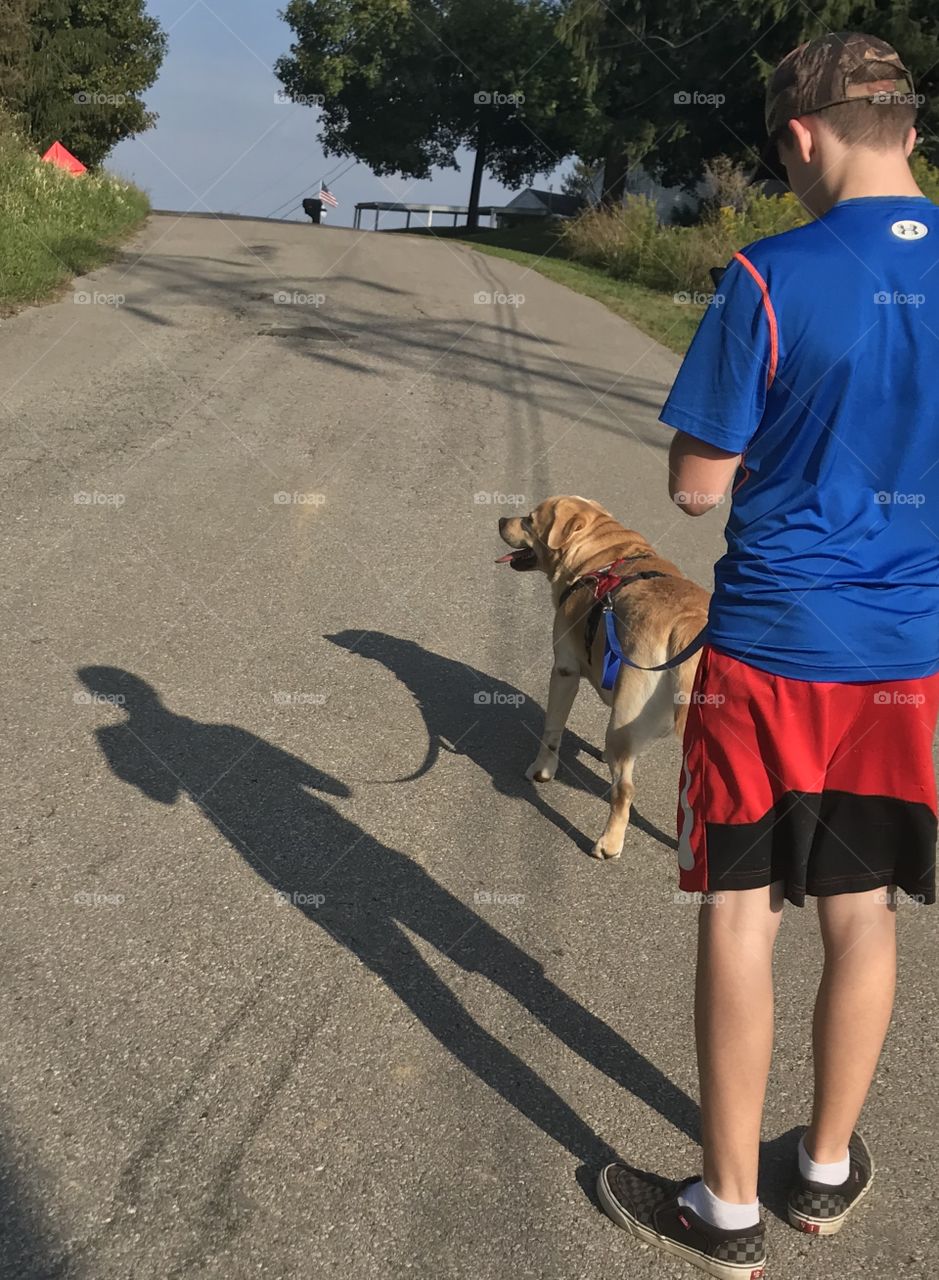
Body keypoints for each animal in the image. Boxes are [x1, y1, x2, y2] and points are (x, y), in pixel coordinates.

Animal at [501, 496, 706, 860]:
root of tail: (686, 623)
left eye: (529, 520)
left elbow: (551, 732)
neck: (601, 554)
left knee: (624, 790)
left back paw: (609, 843)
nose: (500, 521)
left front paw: (542, 770)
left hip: (624, 723)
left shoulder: (564, 671)